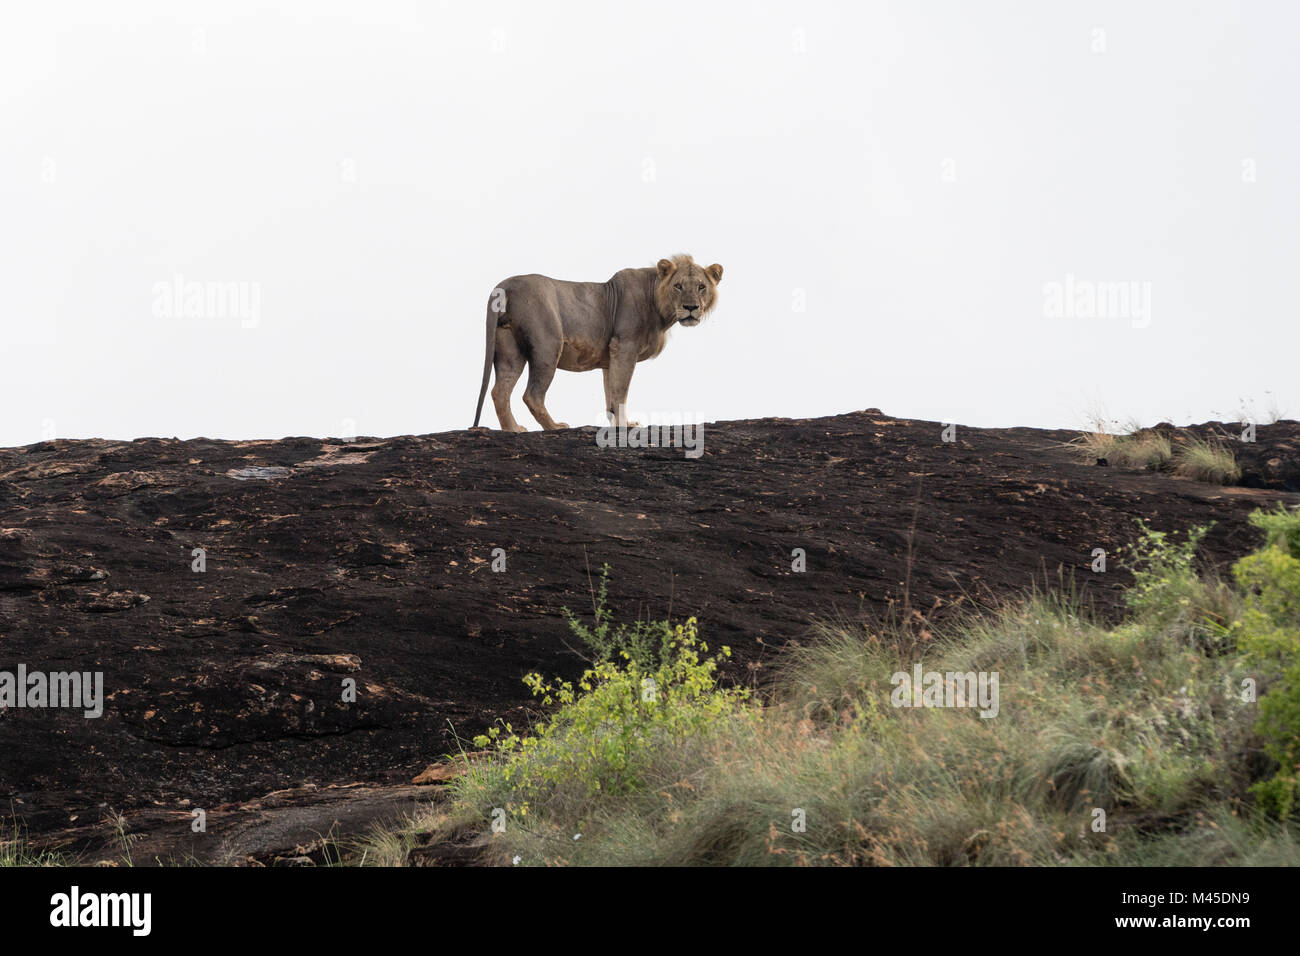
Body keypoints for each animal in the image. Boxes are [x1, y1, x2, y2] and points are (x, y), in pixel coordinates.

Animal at [473, 256, 728, 431]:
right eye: (678, 286)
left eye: (701, 287)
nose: (691, 307)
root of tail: (504, 286)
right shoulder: (624, 347)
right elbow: (621, 391)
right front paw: (624, 426)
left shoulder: (610, 356)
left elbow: (611, 393)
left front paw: (620, 423)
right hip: (548, 345)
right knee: (532, 395)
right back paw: (554, 427)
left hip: (509, 349)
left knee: (499, 392)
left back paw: (513, 430)